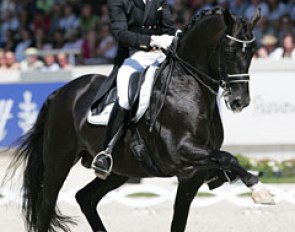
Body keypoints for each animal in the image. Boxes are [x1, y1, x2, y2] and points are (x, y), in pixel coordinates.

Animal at [4, 8, 274, 232]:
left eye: (252, 51)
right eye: (228, 50)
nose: (240, 101)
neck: (188, 85)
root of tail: (62, 91)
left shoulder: (191, 176)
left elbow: (180, 220)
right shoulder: (181, 152)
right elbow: (229, 157)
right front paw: (260, 190)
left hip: (118, 170)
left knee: (85, 198)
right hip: (58, 161)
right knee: (46, 206)